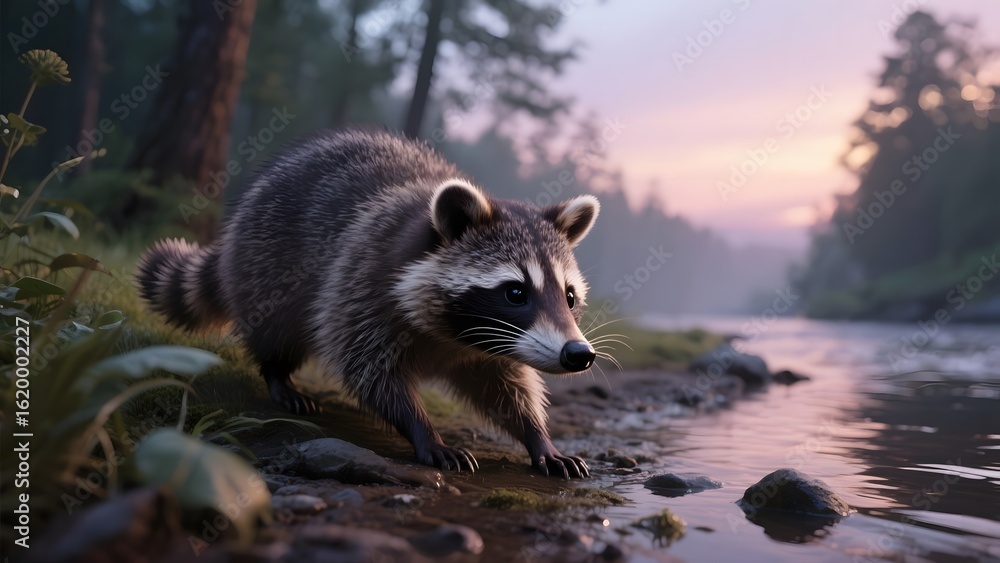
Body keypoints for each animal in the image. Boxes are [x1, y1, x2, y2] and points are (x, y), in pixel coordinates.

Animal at [137, 128, 600, 478]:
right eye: (516, 292)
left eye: (569, 296)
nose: (579, 354)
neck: (455, 336)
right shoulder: (362, 285)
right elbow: (370, 370)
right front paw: (423, 429)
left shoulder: (492, 346)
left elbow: (507, 386)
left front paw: (537, 435)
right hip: (267, 264)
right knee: (276, 328)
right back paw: (277, 374)